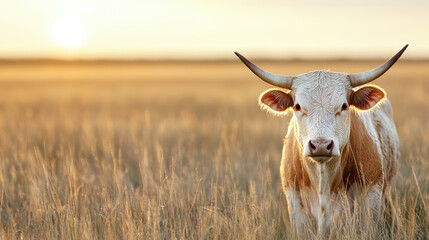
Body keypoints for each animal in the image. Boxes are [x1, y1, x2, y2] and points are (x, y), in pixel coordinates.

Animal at [234, 45, 404, 236]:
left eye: (344, 106)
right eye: (297, 106)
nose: (321, 145)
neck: (323, 179)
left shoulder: (371, 197)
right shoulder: (296, 204)